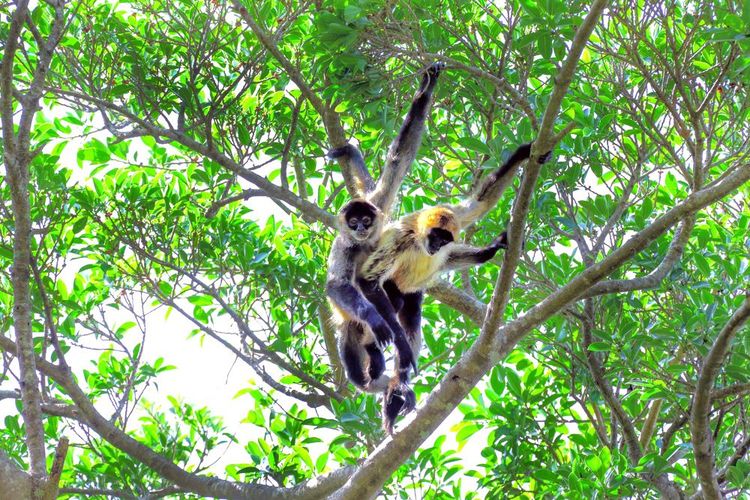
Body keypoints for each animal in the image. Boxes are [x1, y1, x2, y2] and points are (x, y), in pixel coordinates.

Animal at [357, 142, 553, 433]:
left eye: (444, 239)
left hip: (412, 290)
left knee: (411, 315)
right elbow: (367, 280)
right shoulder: (400, 236)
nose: (438, 246)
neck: (418, 238)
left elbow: (481, 203)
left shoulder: (453, 217)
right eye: (435, 236)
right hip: (393, 286)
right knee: (393, 304)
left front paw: (523, 152)